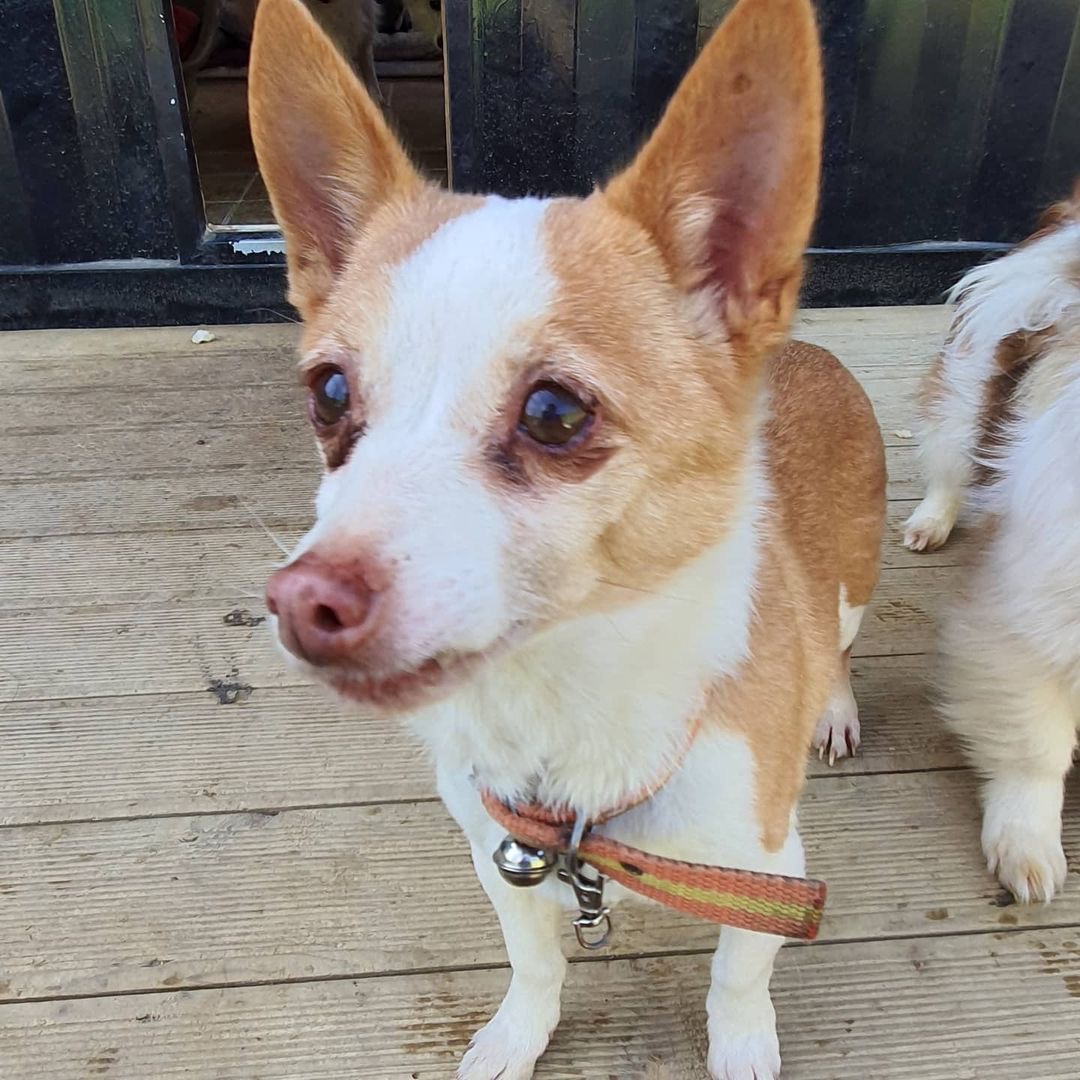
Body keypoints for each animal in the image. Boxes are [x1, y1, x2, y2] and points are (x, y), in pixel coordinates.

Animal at [249, 0, 885, 1075]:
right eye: (327, 395)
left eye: (553, 412)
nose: (301, 598)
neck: (569, 735)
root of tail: (808, 350)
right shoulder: (501, 859)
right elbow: (535, 961)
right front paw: (519, 1034)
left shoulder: (770, 874)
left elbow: (737, 975)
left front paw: (741, 1044)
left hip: (850, 586)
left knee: (836, 645)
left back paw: (831, 707)